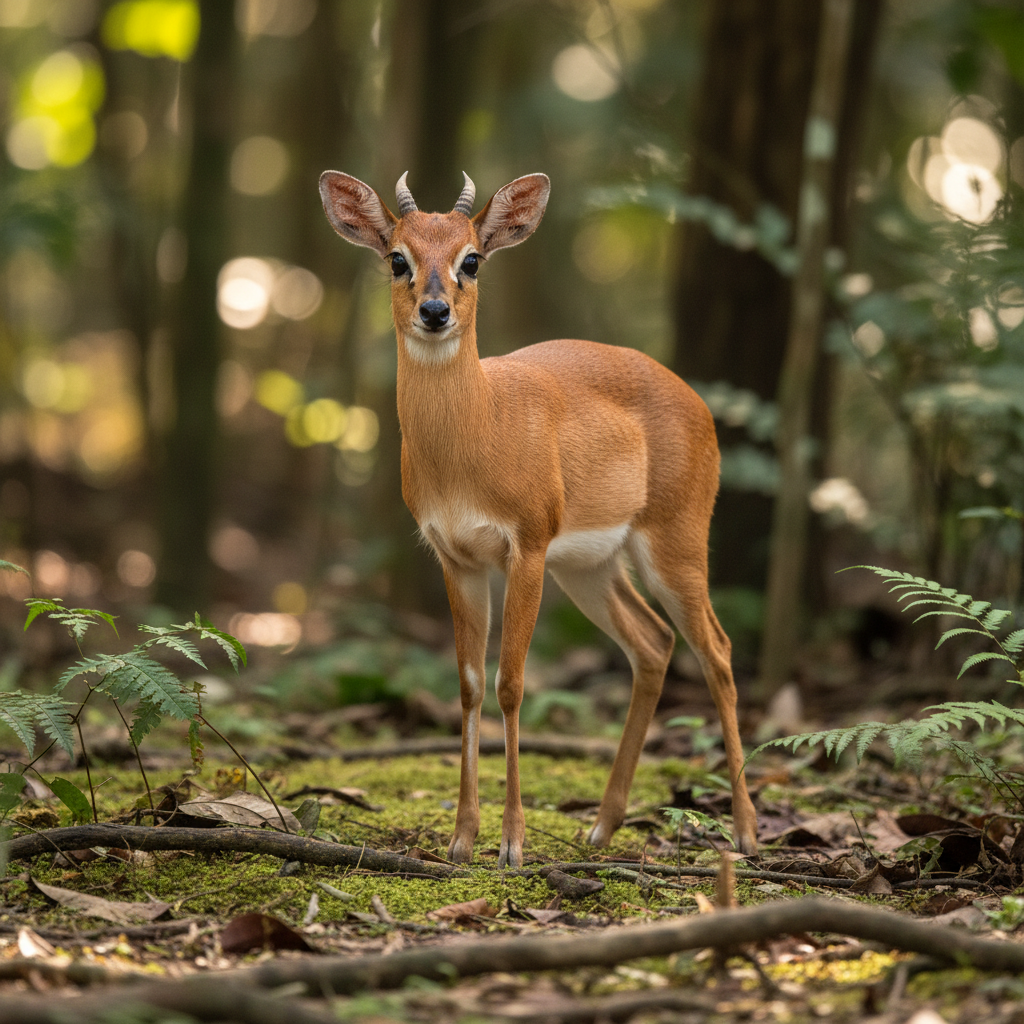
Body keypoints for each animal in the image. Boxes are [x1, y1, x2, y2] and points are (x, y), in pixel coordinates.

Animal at [319, 169, 758, 868]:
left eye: (472, 259)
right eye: (397, 258)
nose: (435, 311)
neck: (479, 437)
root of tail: (701, 405)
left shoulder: (526, 540)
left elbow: (512, 683)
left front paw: (513, 842)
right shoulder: (455, 555)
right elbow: (469, 684)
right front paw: (461, 838)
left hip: (678, 529)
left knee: (715, 646)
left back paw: (744, 831)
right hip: (589, 564)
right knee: (653, 642)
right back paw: (602, 827)